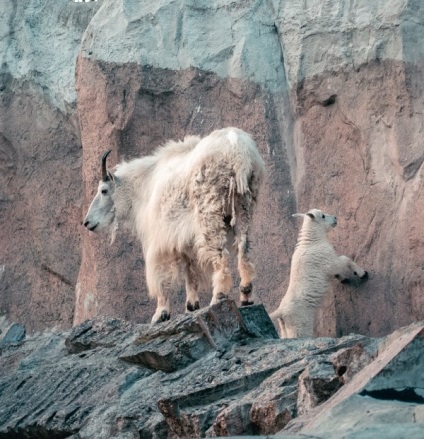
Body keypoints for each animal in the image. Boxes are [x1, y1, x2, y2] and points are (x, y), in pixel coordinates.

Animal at [82, 126, 264, 324]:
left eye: (103, 190)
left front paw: (160, 314)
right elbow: (189, 270)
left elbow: (162, 276)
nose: (87, 222)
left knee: (220, 256)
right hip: (243, 207)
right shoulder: (184, 238)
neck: (145, 187)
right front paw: (191, 306)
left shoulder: (160, 238)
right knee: (243, 249)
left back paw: (218, 297)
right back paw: (246, 296)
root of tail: (238, 151)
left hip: (210, 213)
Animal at [272, 208, 368, 338]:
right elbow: (344, 260)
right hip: (299, 322)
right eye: (322, 216)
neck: (312, 241)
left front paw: (343, 278)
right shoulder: (327, 261)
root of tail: (281, 313)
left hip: (284, 327)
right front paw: (362, 273)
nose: (335, 218)